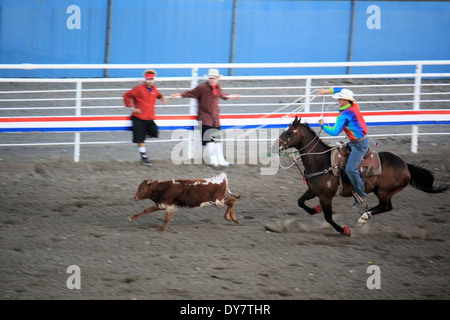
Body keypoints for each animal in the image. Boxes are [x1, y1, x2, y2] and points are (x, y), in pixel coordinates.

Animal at [278, 116, 446, 236]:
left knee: (385, 206)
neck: (323, 162)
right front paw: (315, 210)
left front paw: (344, 230)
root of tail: (405, 165)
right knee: (387, 207)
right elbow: (300, 201)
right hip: (384, 191)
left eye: (288, 132)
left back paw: (363, 217)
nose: (277, 144)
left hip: (383, 191)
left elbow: (328, 217)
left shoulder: (326, 196)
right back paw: (364, 216)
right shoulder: (313, 190)